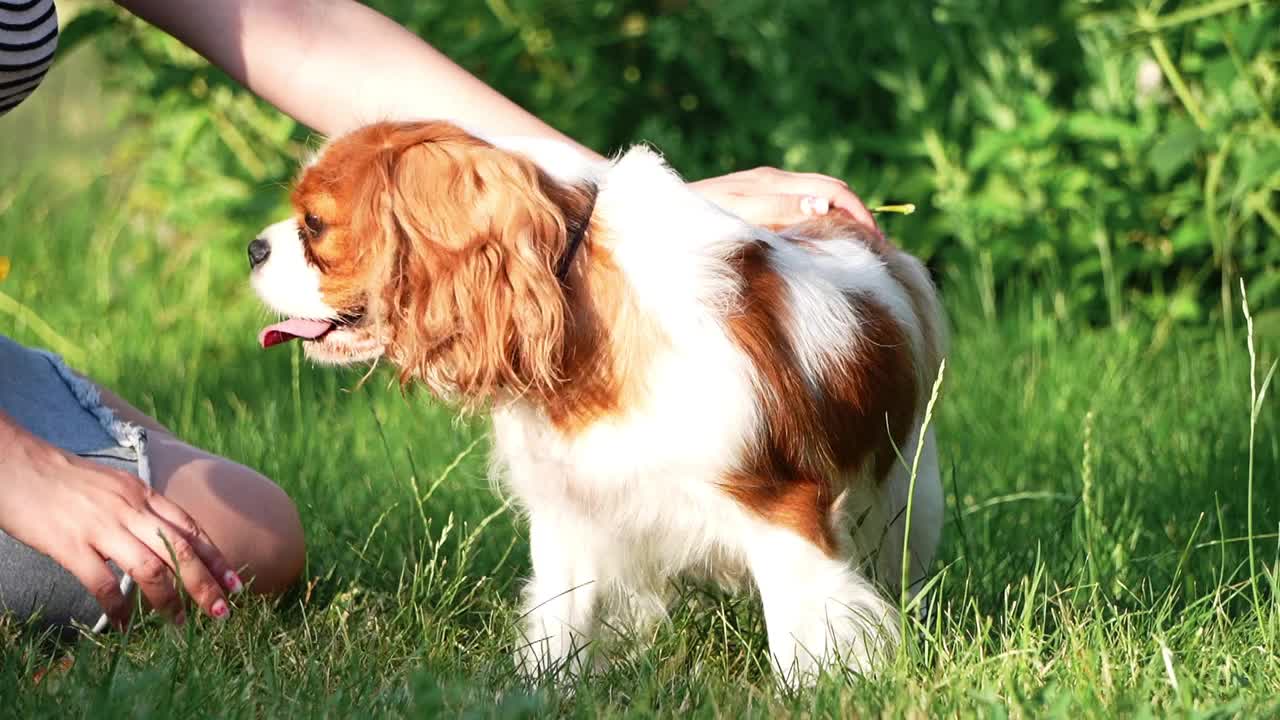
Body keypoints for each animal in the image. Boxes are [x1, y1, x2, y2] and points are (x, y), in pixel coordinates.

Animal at [252, 120, 952, 681]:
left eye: (315, 226)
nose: (255, 248)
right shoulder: (568, 513)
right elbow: (558, 620)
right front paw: (544, 690)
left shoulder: (783, 510)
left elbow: (802, 631)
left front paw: (810, 693)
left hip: (903, 497)